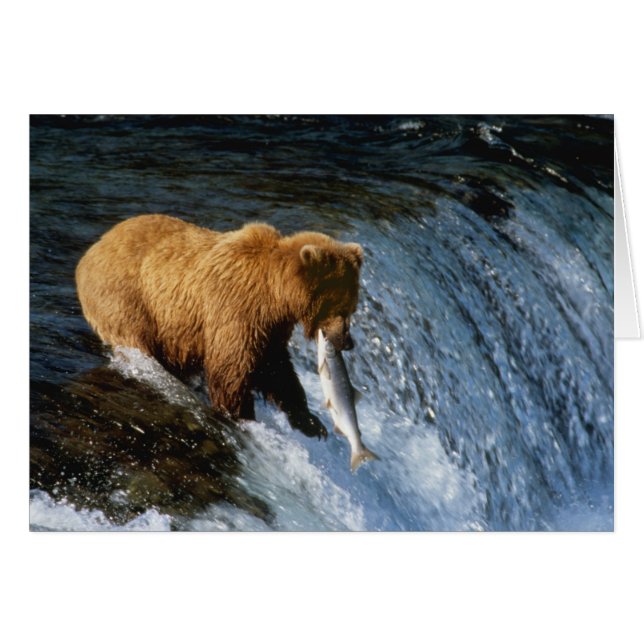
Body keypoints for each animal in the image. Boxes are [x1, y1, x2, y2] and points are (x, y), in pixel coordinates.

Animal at [75, 214, 363, 438]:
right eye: (342, 309)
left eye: (352, 308)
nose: (347, 342)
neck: (276, 295)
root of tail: (89, 252)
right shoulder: (236, 309)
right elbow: (231, 368)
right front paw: (241, 416)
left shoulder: (270, 327)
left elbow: (276, 369)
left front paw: (310, 422)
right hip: (128, 300)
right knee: (135, 338)